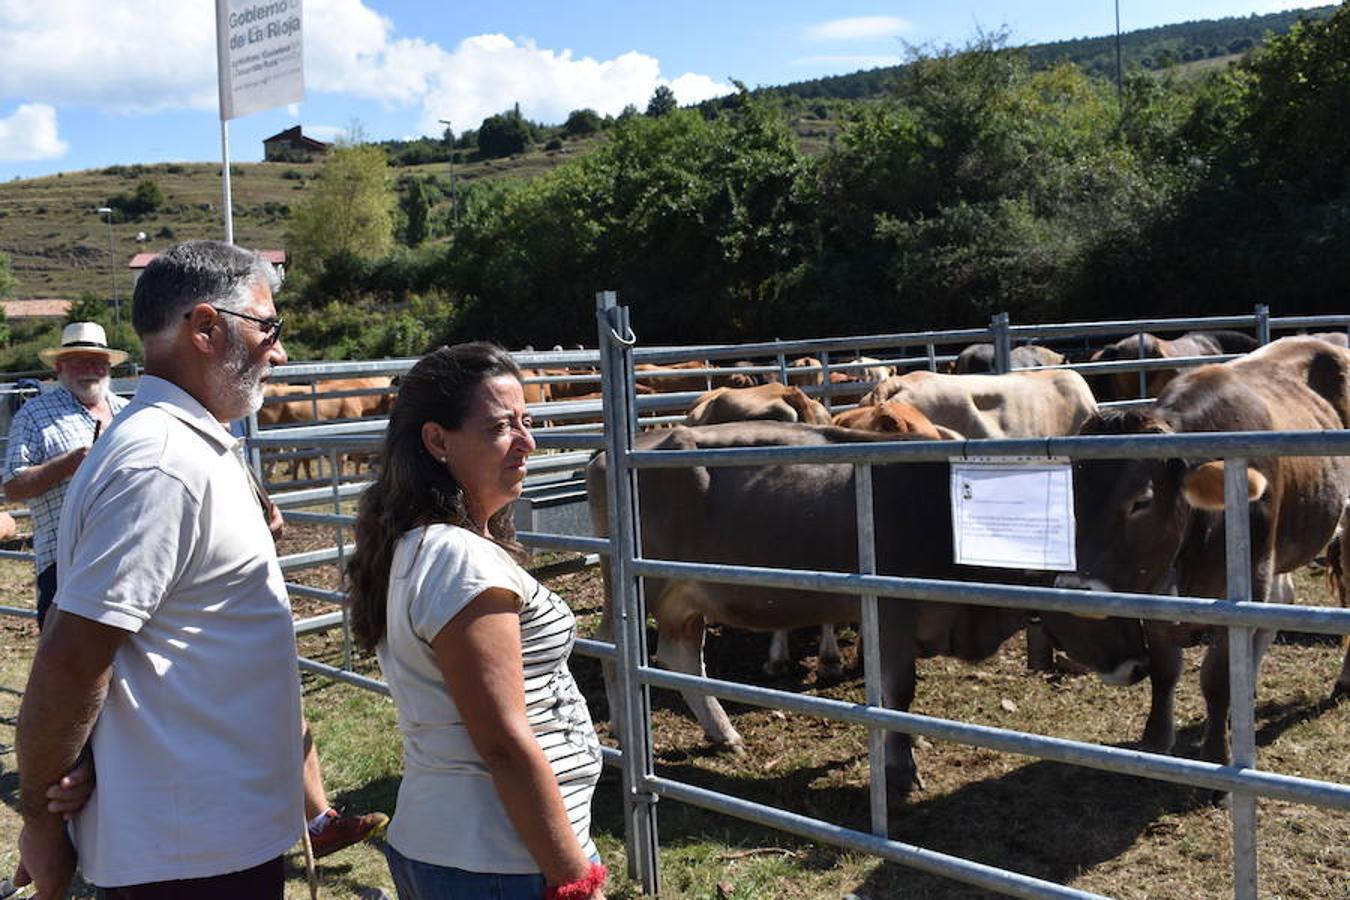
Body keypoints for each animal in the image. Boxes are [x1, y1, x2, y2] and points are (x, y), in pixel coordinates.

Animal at [1053, 337, 1350, 766]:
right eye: (1071, 496)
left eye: (1141, 501)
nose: (1075, 591)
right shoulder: (1155, 589)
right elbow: (1164, 669)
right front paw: (1156, 741)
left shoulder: (1244, 584)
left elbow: (1217, 677)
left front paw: (1216, 753)